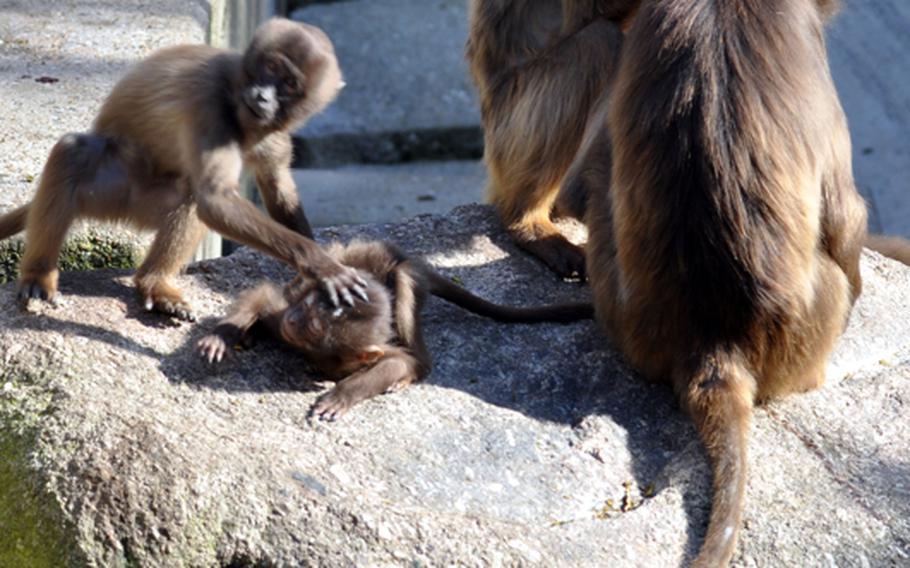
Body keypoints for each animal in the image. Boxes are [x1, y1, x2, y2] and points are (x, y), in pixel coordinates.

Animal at [1, 17, 368, 320]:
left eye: (289, 83)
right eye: (270, 66)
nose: (263, 96)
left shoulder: (274, 134)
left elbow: (277, 188)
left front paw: (317, 266)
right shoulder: (211, 106)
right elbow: (215, 200)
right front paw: (321, 265)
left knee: (187, 195)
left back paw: (155, 283)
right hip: (117, 191)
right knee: (74, 153)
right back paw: (39, 276)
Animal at [199, 237, 596, 420]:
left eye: (313, 327)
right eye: (307, 306)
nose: (294, 321)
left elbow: (398, 360)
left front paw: (342, 394)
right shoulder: (284, 313)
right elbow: (263, 298)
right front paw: (220, 337)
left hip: (409, 279)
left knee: (407, 300)